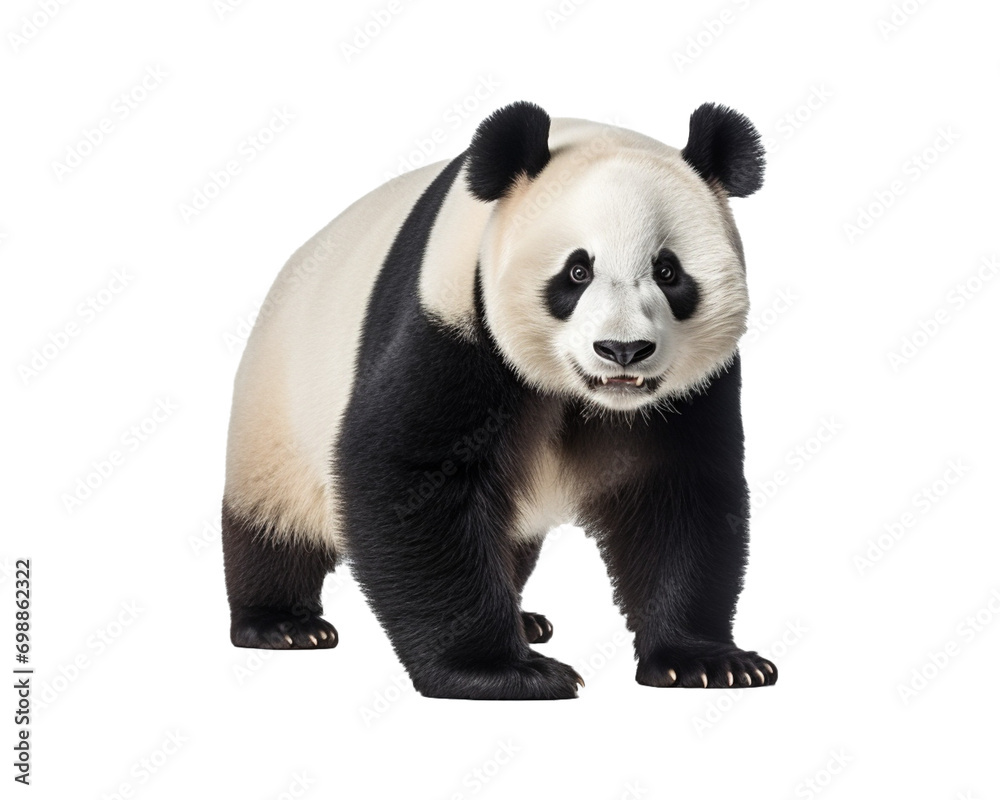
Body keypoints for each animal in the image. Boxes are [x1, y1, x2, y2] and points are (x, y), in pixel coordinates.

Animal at [222, 100, 777, 700]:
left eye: (668, 270)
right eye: (577, 271)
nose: (623, 350)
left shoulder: (693, 392)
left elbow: (679, 494)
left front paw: (706, 662)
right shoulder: (451, 319)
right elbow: (411, 478)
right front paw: (499, 670)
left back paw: (524, 617)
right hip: (275, 407)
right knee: (274, 521)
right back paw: (283, 624)